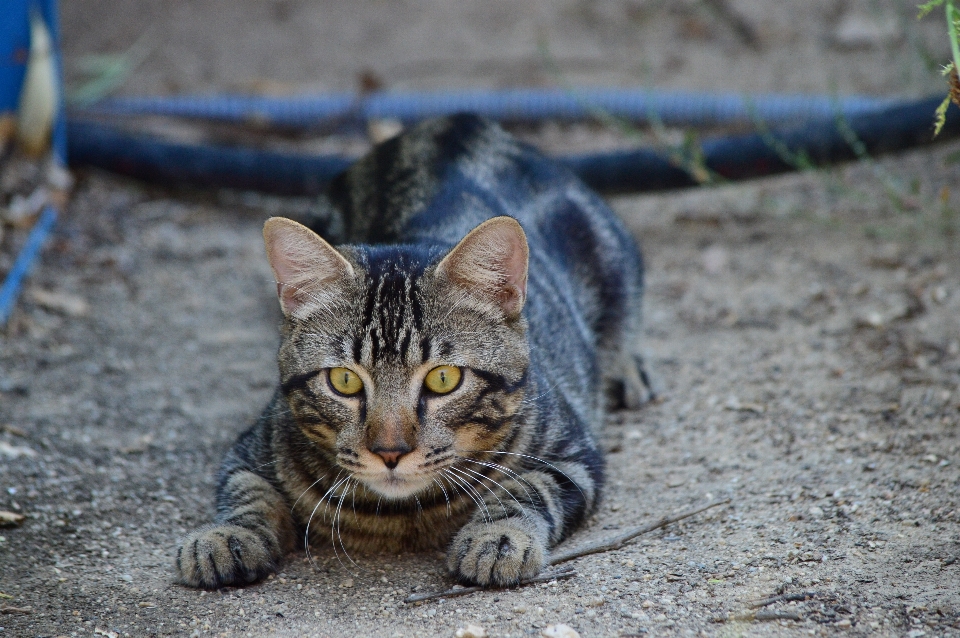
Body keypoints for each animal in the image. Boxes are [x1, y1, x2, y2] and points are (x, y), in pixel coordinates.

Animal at [175, 114, 648, 592]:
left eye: (444, 378)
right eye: (344, 380)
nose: (390, 452)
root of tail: (454, 121)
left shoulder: (573, 457)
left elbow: (527, 489)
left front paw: (497, 537)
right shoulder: (250, 450)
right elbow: (248, 493)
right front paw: (225, 537)